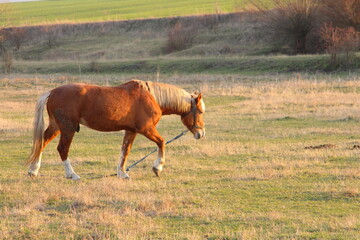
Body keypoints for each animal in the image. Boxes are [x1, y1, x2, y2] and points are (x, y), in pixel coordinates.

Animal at [25, 79, 205, 179]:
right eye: (201, 111)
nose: (201, 133)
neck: (151, 96)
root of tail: (52, 92)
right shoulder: (146, 129)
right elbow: (161, 143)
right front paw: (157, 167)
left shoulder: (131, 131)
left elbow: (125, 151)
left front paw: (122, 172)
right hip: (67, 128)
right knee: (62, 149)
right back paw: (72, 174)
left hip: (56, 126)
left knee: (42, 142)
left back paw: (33, 170)